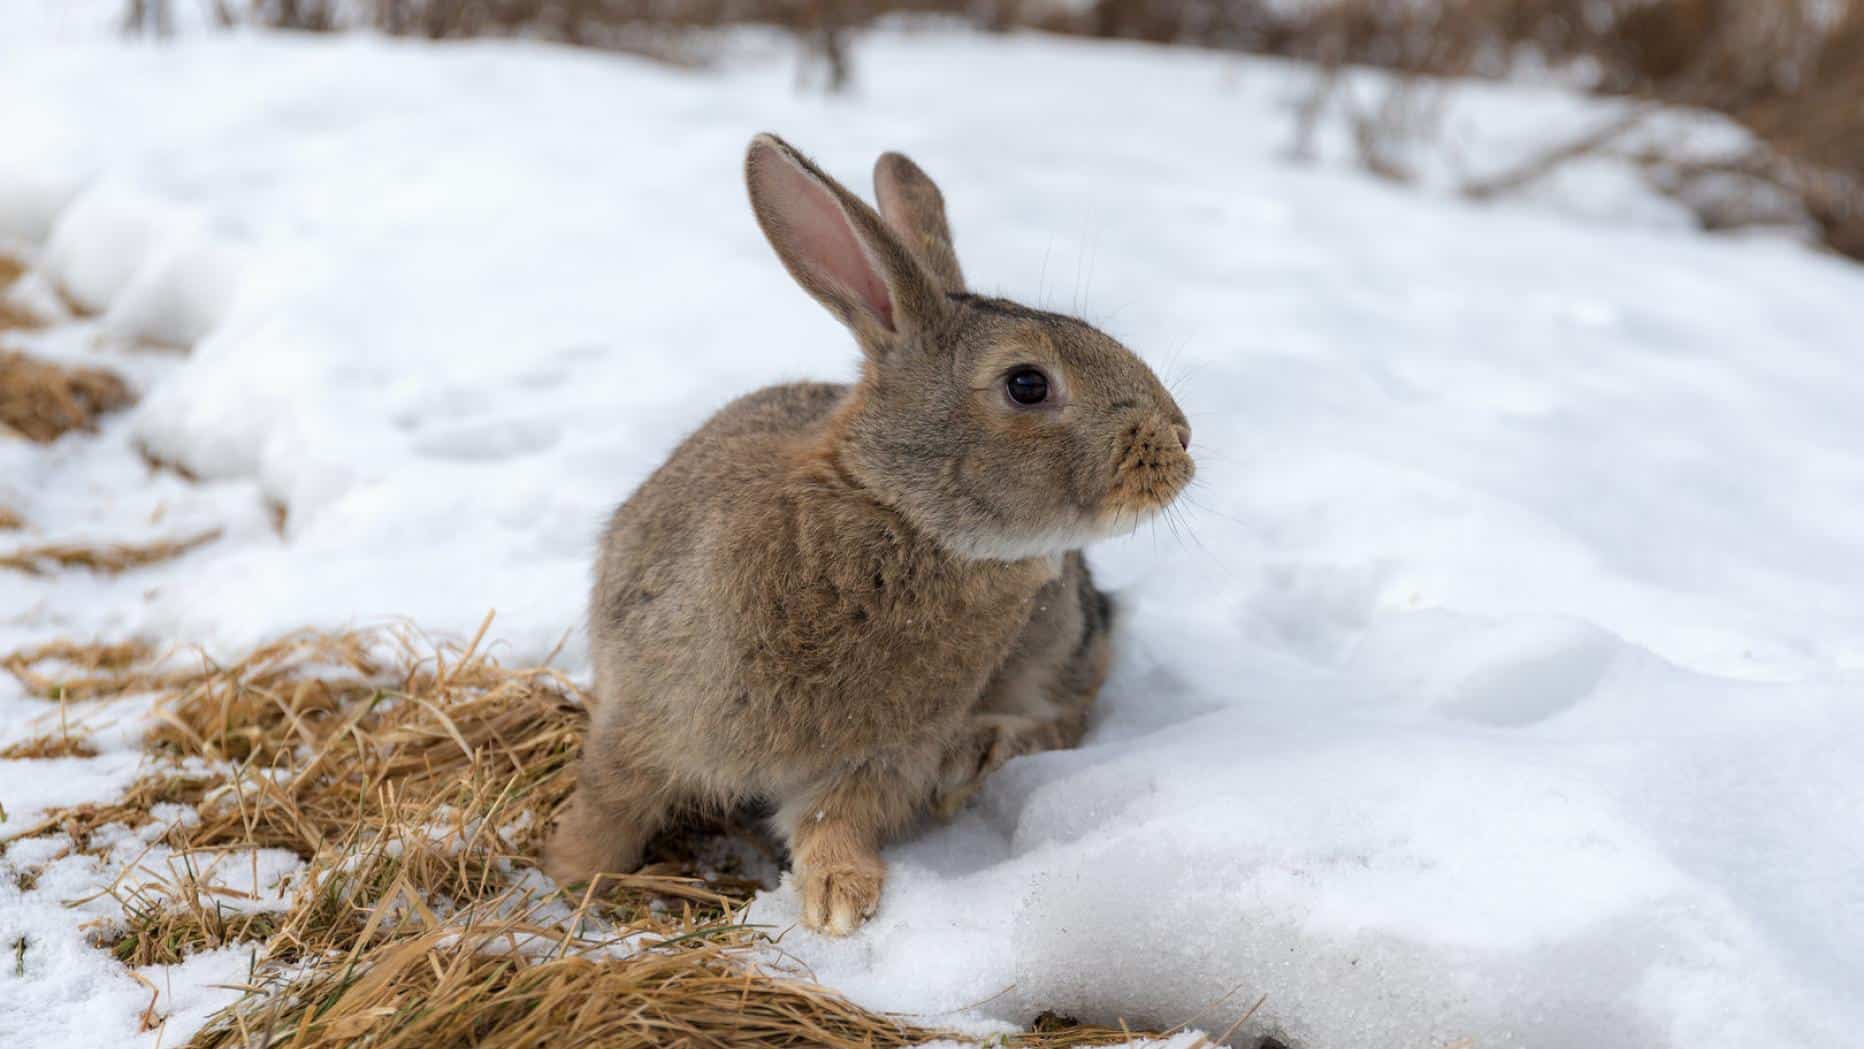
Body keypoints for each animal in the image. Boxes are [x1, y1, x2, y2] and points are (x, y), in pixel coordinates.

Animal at [543, 134, 1193, 935]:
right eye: (1027, 384)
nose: (1180, 440)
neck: (897, 514)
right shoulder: (643, 707)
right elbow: (610, 799)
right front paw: (568, 874)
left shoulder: (882, 754)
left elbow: (837, 818)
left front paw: (840, 900)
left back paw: (976, 758)